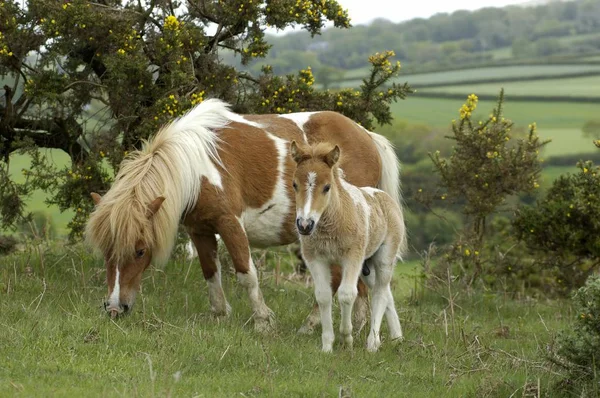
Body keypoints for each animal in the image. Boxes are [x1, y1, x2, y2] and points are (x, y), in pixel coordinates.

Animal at [85, 98, 404, 332]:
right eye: (106, 251)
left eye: (140, 251)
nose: (115, 308)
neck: (196, 166)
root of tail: (367, 136)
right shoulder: (200, 229)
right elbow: (210, 272)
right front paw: (219, 315)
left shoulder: (230, 223)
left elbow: (246, 273)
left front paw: (263, 321)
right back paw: (358, 325)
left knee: (338, 279)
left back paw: (312, 325)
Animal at [292, 140, 408, 352]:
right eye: (294, 184)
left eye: (327, 187)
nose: (304, 225)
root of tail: (383, 195)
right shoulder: (315, 259)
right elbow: (323, 295)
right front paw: (327, 346)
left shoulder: (352, 257)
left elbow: (347, 294)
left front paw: (347, 338)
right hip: (367, 266)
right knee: (386, 292)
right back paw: (396, 337)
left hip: (383, 258)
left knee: (380, 292)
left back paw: (372, 343)